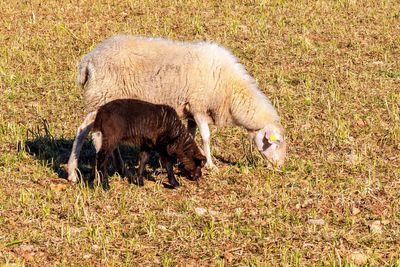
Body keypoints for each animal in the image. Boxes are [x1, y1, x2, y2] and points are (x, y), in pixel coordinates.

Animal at [69, 34, 288, 183]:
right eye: (276, 144)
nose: (280, 168)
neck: (229, 89)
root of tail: (88, 60)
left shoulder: (190, 112)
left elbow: (191, 135)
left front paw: (183, 162)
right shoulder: (198, 104)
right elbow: (206, 137)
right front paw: (211, 165)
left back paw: (121, 169)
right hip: (101, 97)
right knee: (83, 130)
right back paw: (73, 172)